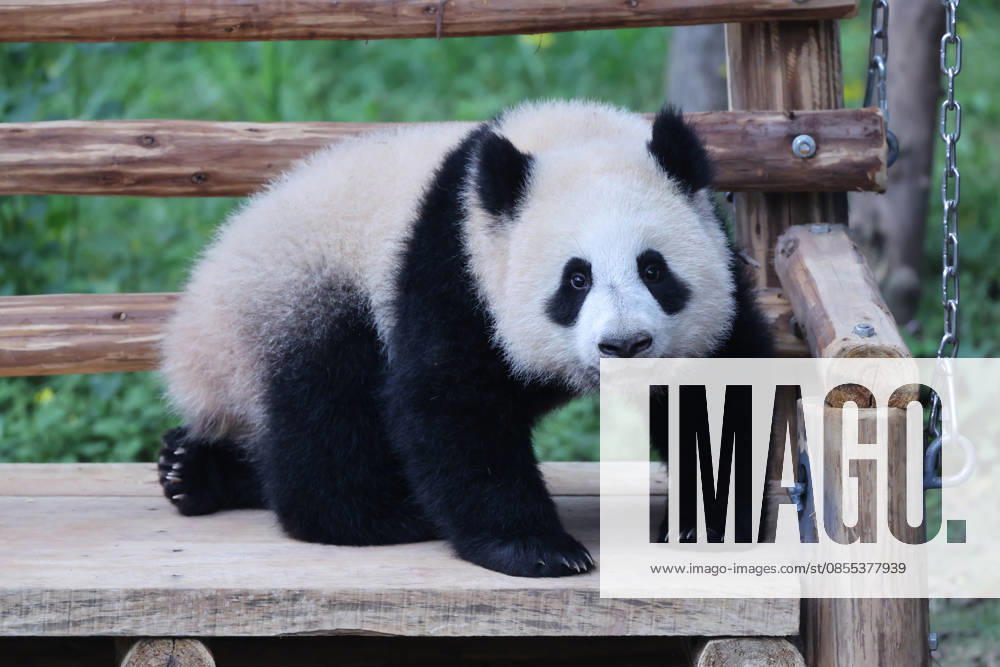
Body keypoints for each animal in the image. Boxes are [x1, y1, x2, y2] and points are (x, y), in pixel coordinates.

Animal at [158, 100, 773, 578]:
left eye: (653, 269)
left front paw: (706, 522)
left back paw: (192, 471)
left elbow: (724, 391)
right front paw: (537, 549)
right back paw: (383, 514)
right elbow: (451, 402)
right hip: (301, 296)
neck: (565, 137)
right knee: (327, 410)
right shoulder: (455, 269)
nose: (625, 345)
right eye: (576, 279)